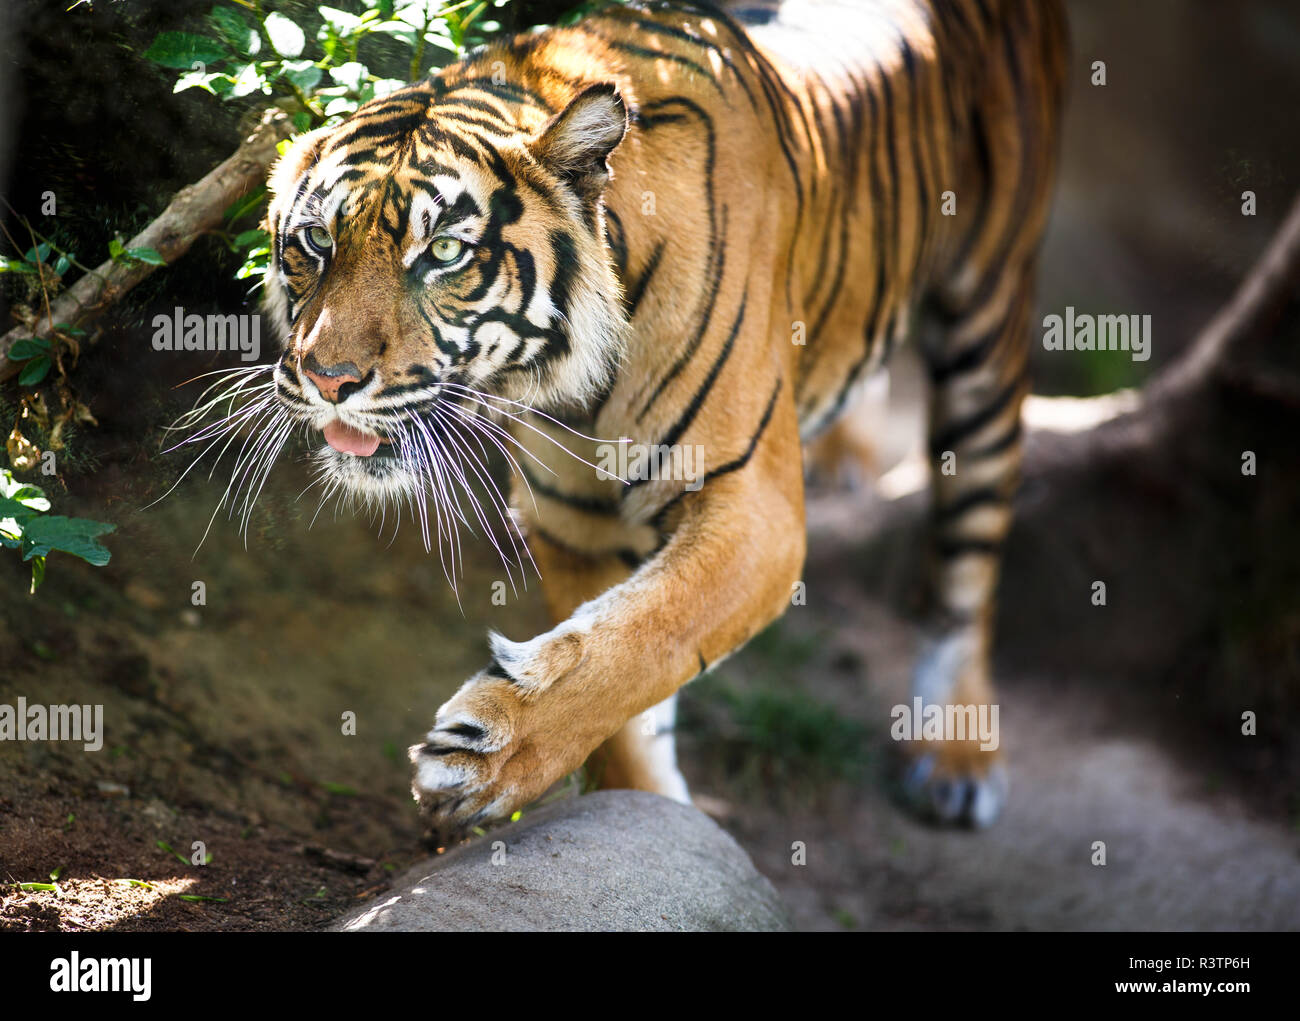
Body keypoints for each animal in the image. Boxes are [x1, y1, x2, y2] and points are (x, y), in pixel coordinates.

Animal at [253, 0, 1066, 832]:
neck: (575, 378)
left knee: (969, 564)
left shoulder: (752, 508)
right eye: (316, 240)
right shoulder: (575, 519)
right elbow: (624, 694)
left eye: (444, 251)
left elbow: (645, 636)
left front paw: (487, 757)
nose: (328, 378)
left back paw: (956, 756)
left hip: (988, 321)